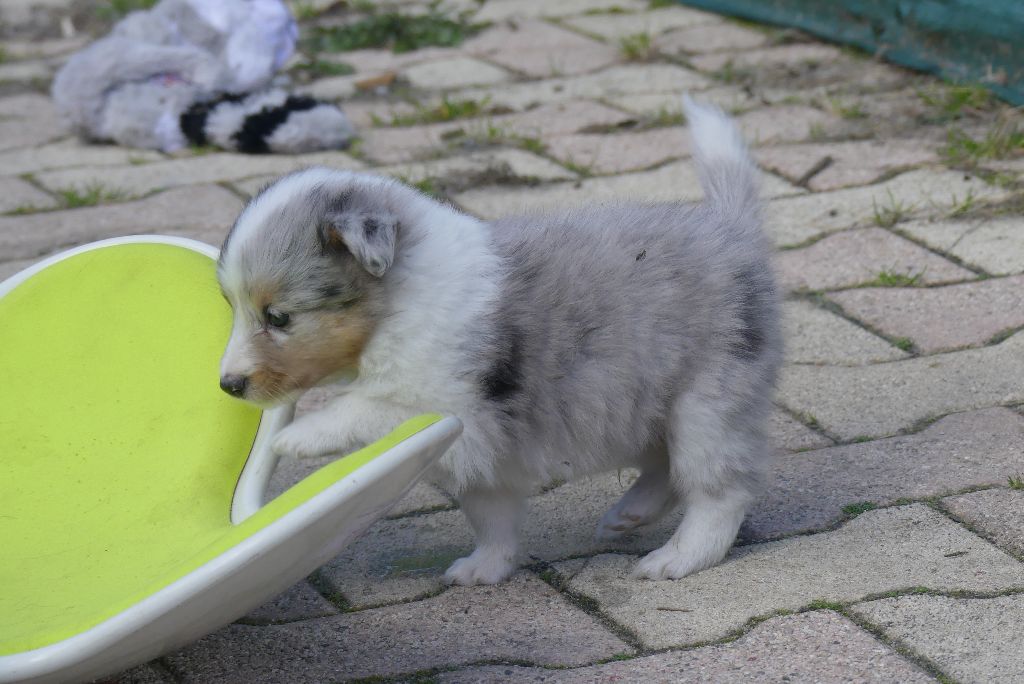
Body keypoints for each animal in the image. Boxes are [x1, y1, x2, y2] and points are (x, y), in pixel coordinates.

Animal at [217, 97, 782, 584]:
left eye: (278, 317)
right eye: (236, 309)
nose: (228, 386)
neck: (399, 302)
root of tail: (732, 231)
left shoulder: (448, 404)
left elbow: (365, 407)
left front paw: (298, 437)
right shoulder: (482, 458)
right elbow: (493, 519)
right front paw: (484, 569)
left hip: (705, 404)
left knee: (720, 492)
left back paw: (678, 558)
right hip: (636, 408)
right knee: (665, 468)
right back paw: (628, 515)